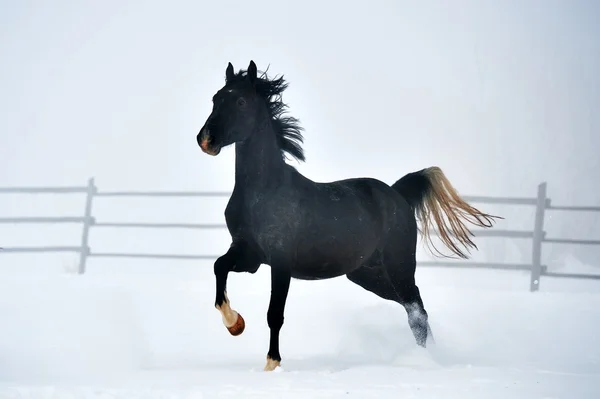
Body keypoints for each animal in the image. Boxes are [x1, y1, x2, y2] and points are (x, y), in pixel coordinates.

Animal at [197, 61, 502, 374]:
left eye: (241, 101)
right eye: (215, 98)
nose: (206, 140)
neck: (263, 192)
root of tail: (396, 193)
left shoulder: (280, 262)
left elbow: (275, 314)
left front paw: (272, 365)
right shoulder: (250, 255)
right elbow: (219, 267)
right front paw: (235, 324)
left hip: (399, 266)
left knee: (416, 308)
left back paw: (427, 361)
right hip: (366, 274)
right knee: (413, 307)